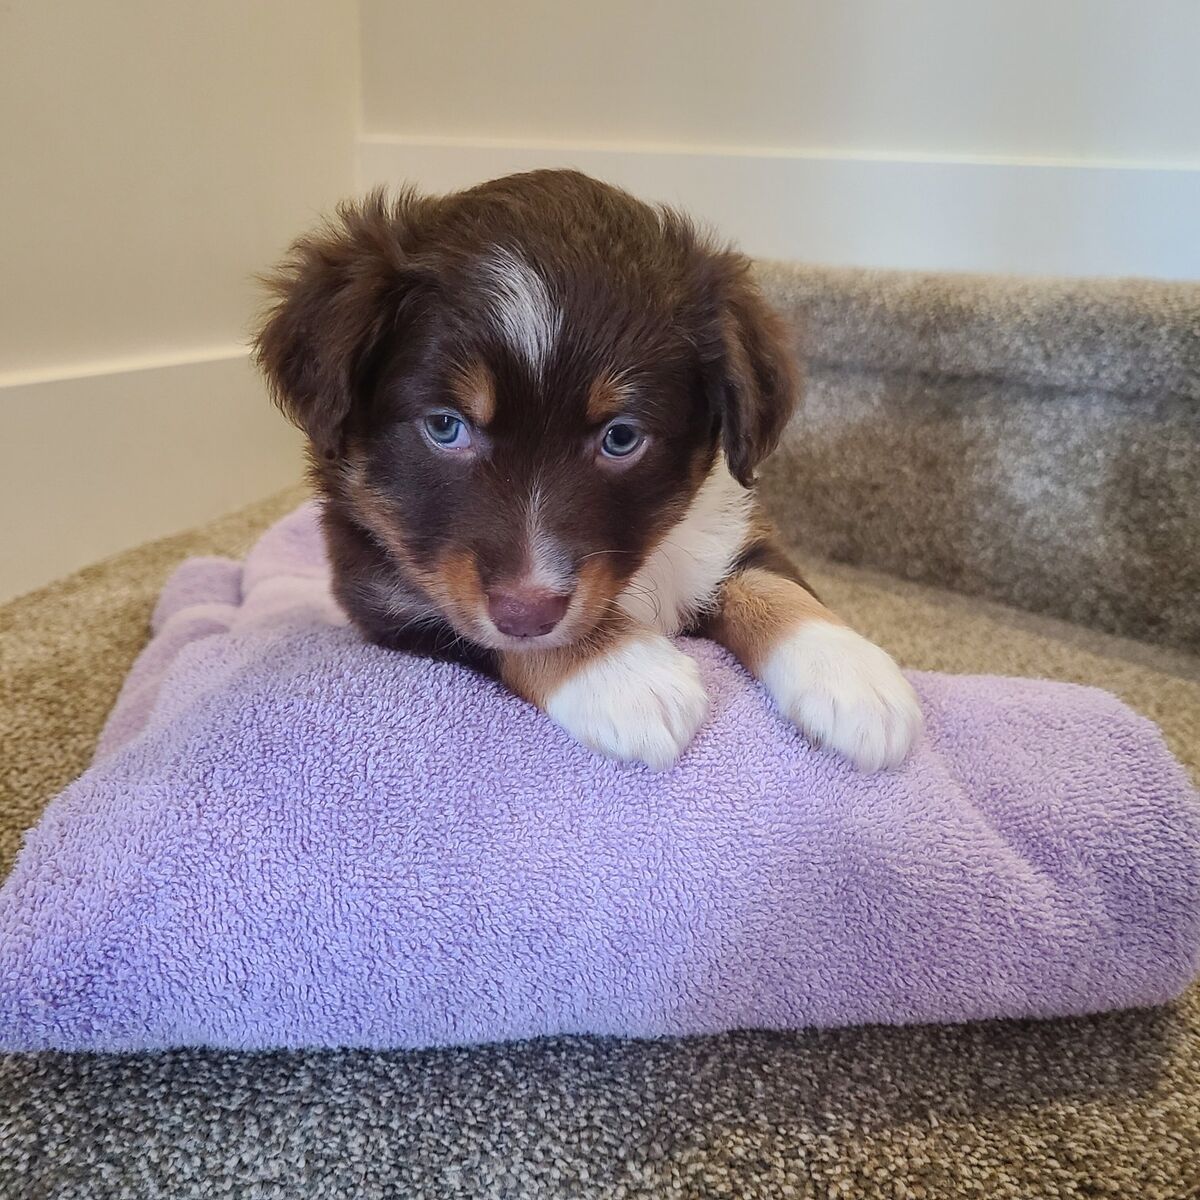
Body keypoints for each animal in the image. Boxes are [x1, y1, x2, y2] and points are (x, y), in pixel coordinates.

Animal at [254, 169, 922, 771]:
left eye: (620, 437)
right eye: (445, 426)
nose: (526, 613)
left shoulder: (733, 526)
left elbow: (773, 584)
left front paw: (851, 674)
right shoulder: (384, 593)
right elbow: (466, 626)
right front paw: (623, 675)